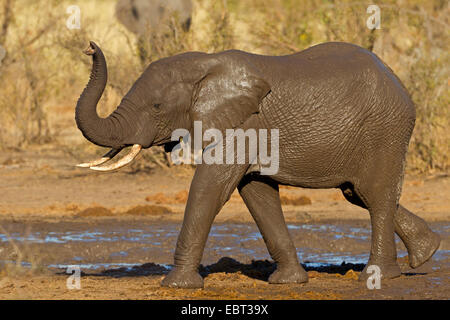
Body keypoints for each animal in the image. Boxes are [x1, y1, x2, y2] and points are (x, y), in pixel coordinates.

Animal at [74, 40, 440, 288]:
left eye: (156, 106)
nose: (89, 46)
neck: (204, 63)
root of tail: (397, 80)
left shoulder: (244, 124)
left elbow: (211, 187)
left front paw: (176, 285)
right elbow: (256, 193)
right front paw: (289, 282)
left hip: (385, 129)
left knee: (375, 196)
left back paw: (378, 276)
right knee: (358, 194)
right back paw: (427, 251)